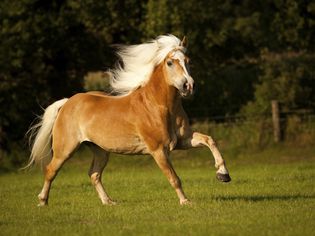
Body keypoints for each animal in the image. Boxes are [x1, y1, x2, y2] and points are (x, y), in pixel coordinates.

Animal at [25, 34, 231, 206]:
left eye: (188, 61)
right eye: (170, 62)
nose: (188, 86)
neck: (159, 106)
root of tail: (68, 102)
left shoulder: (182, 140)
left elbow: (209, 140)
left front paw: (223, 175)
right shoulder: (158, 150)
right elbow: (174, 178)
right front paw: (185, 201)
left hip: (100, 150)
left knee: (94, 174)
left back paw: (108, 202)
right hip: (65, 149)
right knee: (51, 170)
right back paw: (42, 201)